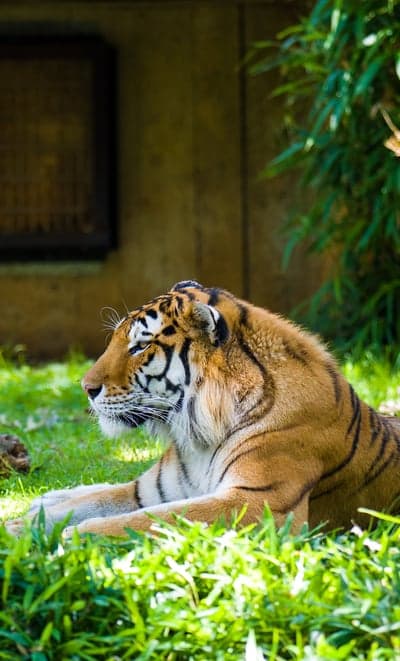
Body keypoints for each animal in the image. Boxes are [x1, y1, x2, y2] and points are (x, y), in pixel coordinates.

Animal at [6, 280, 400, 537]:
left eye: (140, 346)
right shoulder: (153, 491)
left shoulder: (258, 502)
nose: (86, 389)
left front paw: (73, 538)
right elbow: (85, 506)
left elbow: (150, 520)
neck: (200, 436)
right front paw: (17, 528)